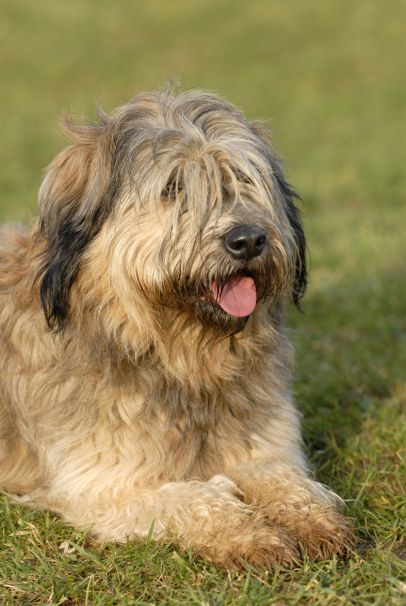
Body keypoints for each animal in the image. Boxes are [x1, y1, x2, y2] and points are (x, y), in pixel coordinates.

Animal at [0, 89, 352, 567]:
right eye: (173, 188)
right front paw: (251, 535)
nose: (248, 240)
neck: (182, 360)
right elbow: (197, 498)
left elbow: (285, 481)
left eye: (241, 179)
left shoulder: (265, 445)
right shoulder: (106, 484)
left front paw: (313, 520)